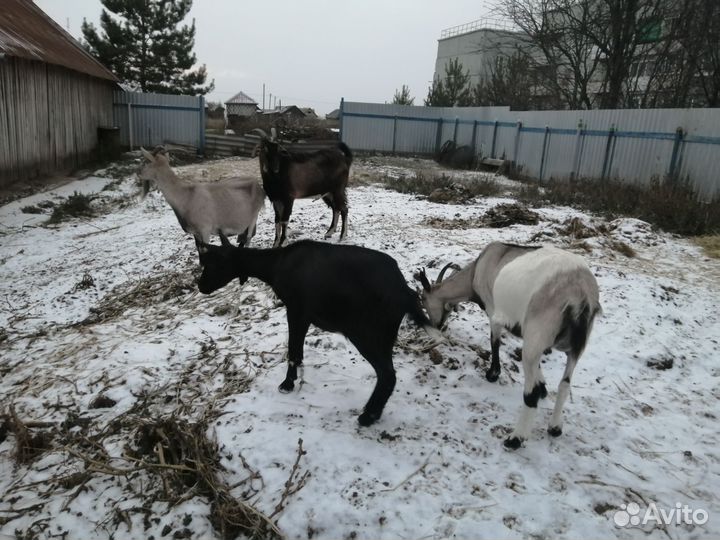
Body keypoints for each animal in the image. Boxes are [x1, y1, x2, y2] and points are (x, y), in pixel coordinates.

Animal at [196, 233, 434, 426]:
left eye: (215, 264)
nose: (201, 286)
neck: (277, 264)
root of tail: (404, 292)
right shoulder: (306, 315)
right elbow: (298, 349)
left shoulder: (295, 309)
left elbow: (293, 349)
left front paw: (287, 384)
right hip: (386, 335)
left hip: (367, 334)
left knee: (387, 375)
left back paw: (367, 417)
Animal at [415, 242, 600, 449]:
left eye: (423, 299)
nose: (436, 325)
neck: (477, 270)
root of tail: (580, 294)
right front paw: (543, 385)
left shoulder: (493, 311)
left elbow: (494, 342)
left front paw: (492, 374)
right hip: (575, 346)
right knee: (565, 384)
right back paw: (554, 427)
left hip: (540, 325)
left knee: (530, 393)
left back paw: (515, 438)